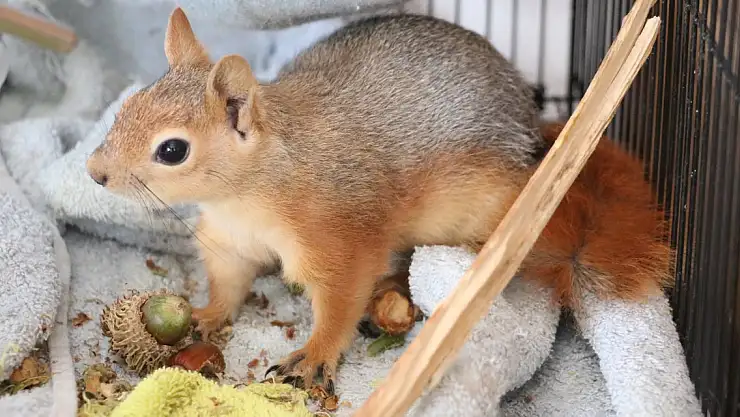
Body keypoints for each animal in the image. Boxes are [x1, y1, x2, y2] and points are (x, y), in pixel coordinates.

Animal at [86, 8, 672, 392]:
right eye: (128, 105)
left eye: (172, 150)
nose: (95, 173)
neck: (251, 190)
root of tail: (534, 132)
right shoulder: (230, 241)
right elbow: (229, 283)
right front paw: (204, 314)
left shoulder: (338, 236)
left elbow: (341, 299)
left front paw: (314, 356)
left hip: (480, 214)